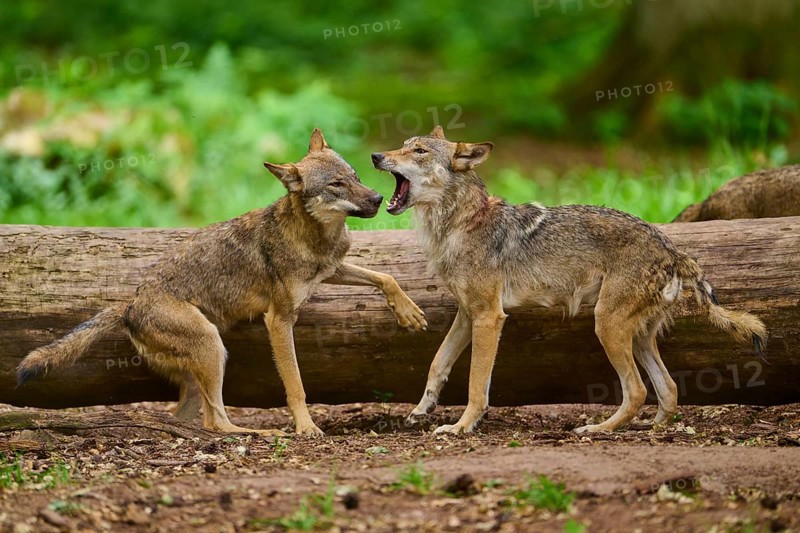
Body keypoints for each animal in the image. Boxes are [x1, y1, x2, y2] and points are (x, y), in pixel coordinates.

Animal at [18, 128, 427, 436]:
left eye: (355, 176)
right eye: (337, 184)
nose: (377, 198)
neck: (318, 238)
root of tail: (130, 304)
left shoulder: (333, 270)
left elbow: (385, 276)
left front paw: (409, 313)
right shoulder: (279, 321)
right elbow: (295, 384)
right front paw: (306, 427)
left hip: (201, 367)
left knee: (190, 419)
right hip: (213, 348)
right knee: (217, 422)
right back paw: (262, 432)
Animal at [372, 126, 765, 434]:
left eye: (419, 151)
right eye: (403, 144)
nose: (375, 155)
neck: (457, 226)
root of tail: (671, 248)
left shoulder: (489, 317)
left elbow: (475, 383)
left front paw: (461, 426)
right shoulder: (468, 314)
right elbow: (438, 362)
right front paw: (422, 410)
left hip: (606, 324)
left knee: (638, 390)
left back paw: (597, 429)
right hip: (636, 336)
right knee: (668, 389)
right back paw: (650, 427)